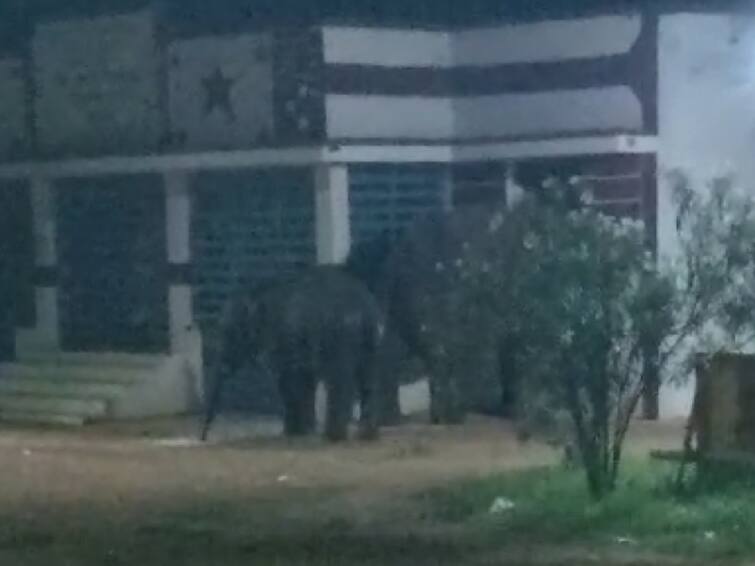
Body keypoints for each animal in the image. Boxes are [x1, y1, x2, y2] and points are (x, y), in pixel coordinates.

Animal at [201, 268, 386, 446]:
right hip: (371, 344)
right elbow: (305, 379)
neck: (260, 291)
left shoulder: (284, 339)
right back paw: (367, 435)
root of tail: (366, 311)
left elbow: (288, 380)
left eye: (227, 332)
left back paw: (333, 437)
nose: (203, 438)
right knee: (368, 381)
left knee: (340, 382)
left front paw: (292, 432)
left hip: (340, 338)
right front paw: (304, 430)